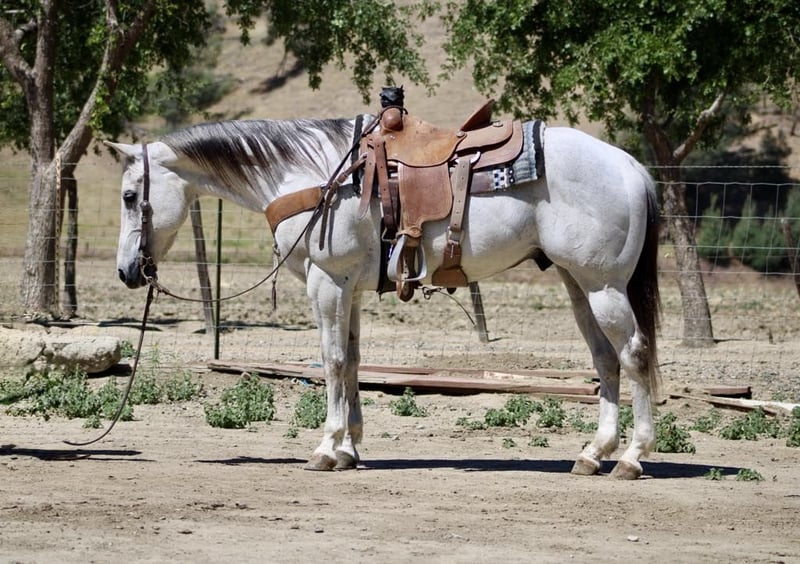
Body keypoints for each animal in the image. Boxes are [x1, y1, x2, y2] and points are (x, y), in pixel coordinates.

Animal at [109, 114, 661, 480]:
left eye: (131, 196)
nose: (127, 271)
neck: (317, 176)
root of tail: (630, 166)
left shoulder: (327, 282)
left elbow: (332, 361)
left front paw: (326, 448)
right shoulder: (349, 288)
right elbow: (352, 361)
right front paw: (350, 450)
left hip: (603, 286)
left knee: (633, 355)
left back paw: (632, 457)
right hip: (577, 283)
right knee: (605, 360)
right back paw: (593, 453)